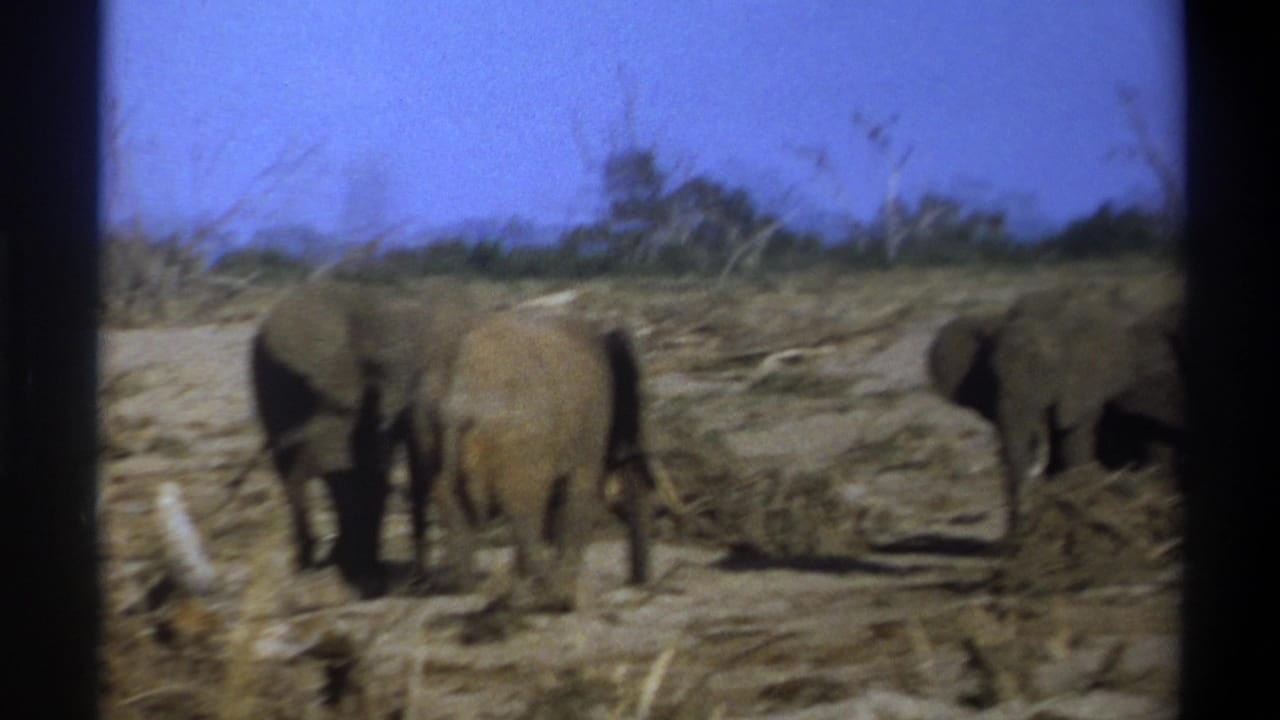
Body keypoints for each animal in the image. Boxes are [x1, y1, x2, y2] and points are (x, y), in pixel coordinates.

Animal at [428, 310, 654, 612]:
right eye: (640, 398)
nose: (640, 585)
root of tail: (461, 395)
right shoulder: (592, 423)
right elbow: (580, 492)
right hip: (520, 443)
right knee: (525, 511)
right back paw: (556, 596)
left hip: (431, 435)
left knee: (453, 506)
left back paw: (472, 592)